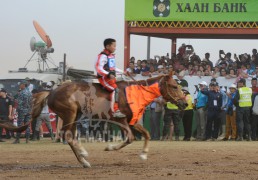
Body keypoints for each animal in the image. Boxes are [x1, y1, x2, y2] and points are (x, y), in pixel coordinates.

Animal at [0, 72, 186, 168]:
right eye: (174, 86)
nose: (184, 102)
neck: (135, 92)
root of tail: (52, 91)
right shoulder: (122, 121)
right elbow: (131, 138)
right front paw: (110, 147)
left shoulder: (133, 122)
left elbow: (146, 134)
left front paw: (144, 154)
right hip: (70, 113)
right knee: (68, 135)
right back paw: (83, 156)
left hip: (74, 116)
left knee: (70, 136)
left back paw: (83, 159)